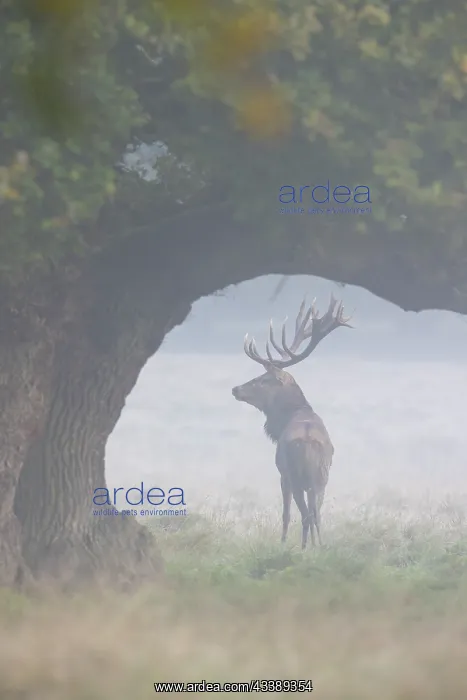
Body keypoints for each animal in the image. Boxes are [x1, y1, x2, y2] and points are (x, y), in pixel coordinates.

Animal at [232, 295, 352, 550]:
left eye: (263, 379)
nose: (236, 389)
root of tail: (307, 443)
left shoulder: (282, 474)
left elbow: (286, 514)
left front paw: (284, 544)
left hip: (295, 475)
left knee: (305, 513)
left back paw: (305, 547)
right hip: (321, 476)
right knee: (316, 513)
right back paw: (319, 546)